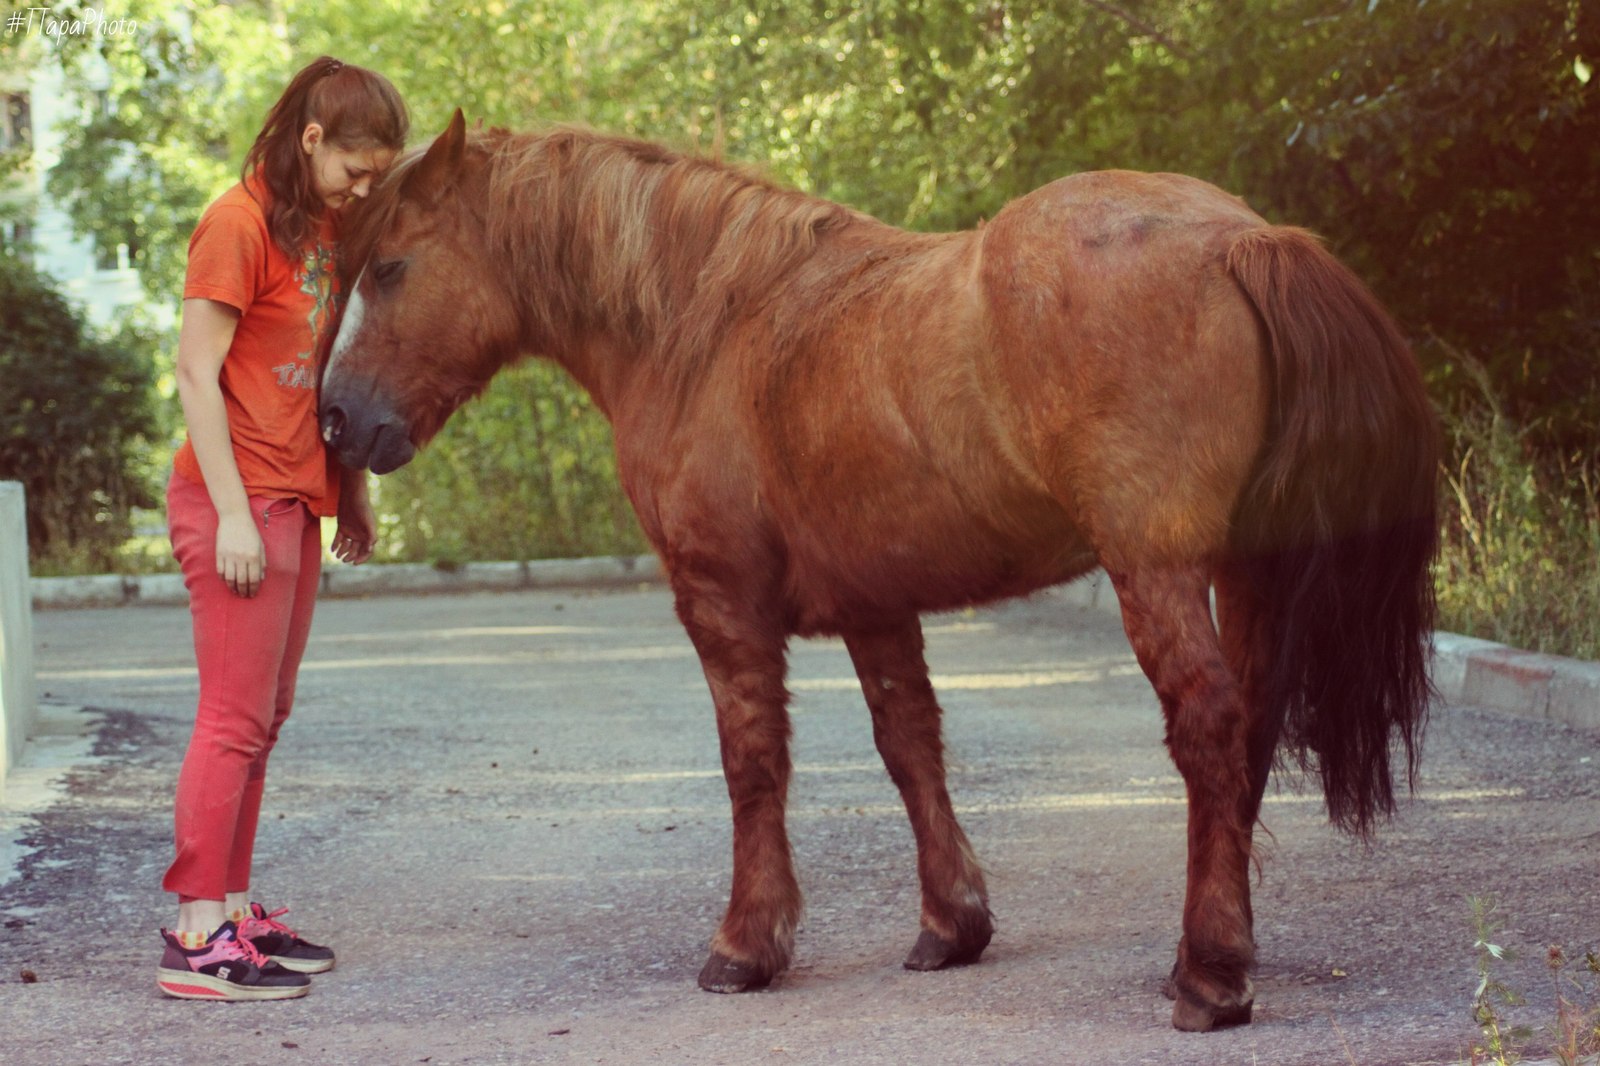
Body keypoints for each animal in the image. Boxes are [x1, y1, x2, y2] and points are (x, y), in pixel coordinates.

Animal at [318, 109, 1446, 1030]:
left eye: (390, 267)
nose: (335, 419)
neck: (705, 324)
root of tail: (1240, 238)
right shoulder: (875, 604)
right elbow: (911, 748)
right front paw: (952, 926)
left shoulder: (720, 600)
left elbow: (753, 763)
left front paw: (746, 946)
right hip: (1248, 571)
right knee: (1247, 730)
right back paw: (1204, 954)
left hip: (1157, 568)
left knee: (1209, 727)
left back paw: (1210, 977)